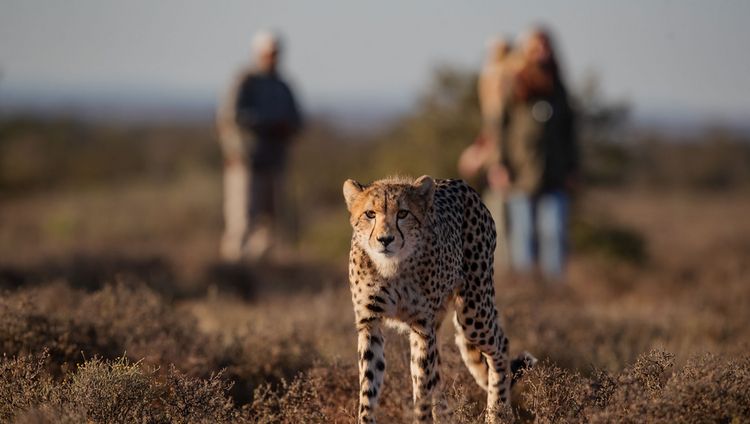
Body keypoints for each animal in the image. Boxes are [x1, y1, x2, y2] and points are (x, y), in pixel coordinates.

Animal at [344, 174, 536, 422]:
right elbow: (369, 387)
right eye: (370, 214)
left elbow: (422, 388)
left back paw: (496, 413)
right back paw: (446, 414)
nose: (385, 239)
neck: (391, 266)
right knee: (437, 374)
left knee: (501, 345)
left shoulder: (422, 327)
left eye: (403, 213)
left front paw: (423, 417)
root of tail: (459, 183)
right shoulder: (370, 323)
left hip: (473, 312)